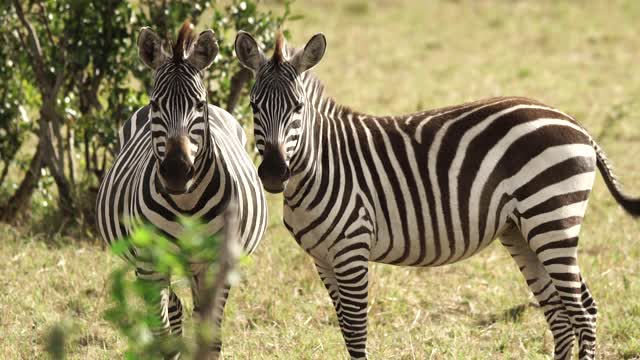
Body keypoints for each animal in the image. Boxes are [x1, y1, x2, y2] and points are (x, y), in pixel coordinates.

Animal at [95, 23, 268, 358]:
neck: (186, 201)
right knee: (172, 308)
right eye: (155, 105)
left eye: (199, 105)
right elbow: (162, 333)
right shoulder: (150, 266)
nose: (176, 171)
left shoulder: (216, 267)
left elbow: (209, 338)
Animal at [235, 31, 640, 360]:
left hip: (551, 220)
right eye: (254, 106)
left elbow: (356, 331)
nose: (273, 174)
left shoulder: (352, 250)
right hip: (523, 231)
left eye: (298, 108)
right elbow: (346, 331)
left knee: (582, 312)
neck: (320, 165)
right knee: (560, 312)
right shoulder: (323, 258)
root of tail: (577, 125)